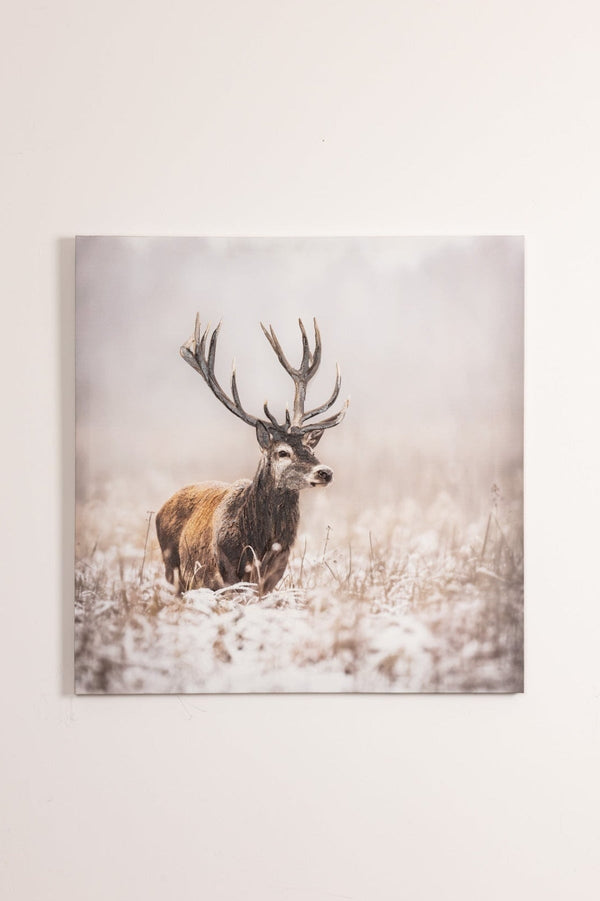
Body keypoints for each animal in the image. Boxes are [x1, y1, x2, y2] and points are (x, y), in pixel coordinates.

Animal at [155, 315, 348, 595]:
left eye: (311, 449)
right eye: (282, 452)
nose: (325, 472)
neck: (258, 545)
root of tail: (161, 508)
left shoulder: (271, 578)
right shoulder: (226, 577)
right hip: (173, 570)